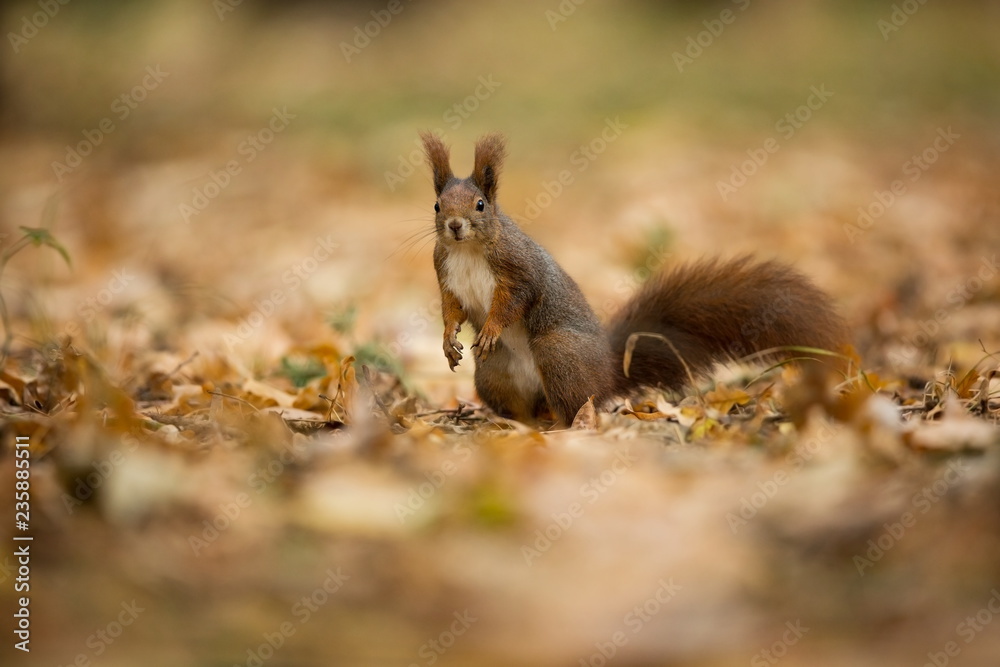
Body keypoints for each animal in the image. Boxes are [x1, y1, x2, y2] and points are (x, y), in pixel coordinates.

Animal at [421, 132, 847, 426]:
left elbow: (515, 299)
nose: (455, 226)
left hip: (559, 353)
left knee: (577, 406)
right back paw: (513, 424)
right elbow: (451, 308)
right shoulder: (444, 271)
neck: (468, 250)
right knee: (526, 408)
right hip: (494, 374)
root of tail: (608, 373)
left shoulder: (519, 268)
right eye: (438, 206)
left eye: (480, 205)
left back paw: (561, 426)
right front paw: (447, 341)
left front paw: (491, 328)